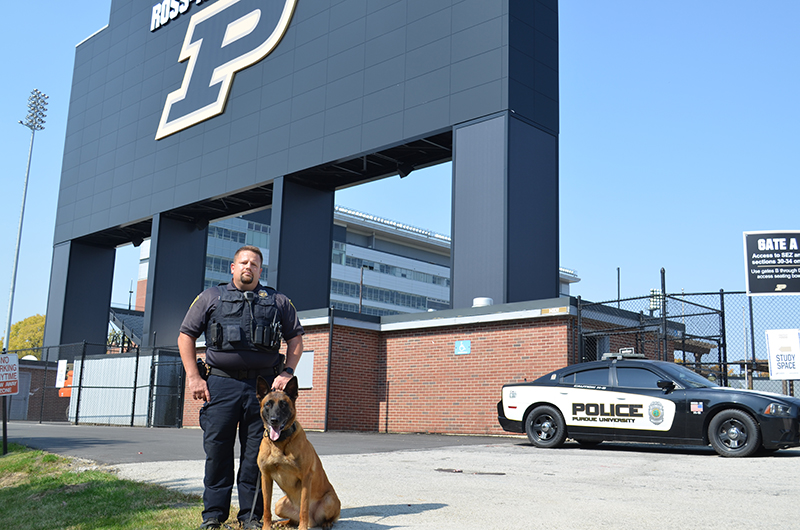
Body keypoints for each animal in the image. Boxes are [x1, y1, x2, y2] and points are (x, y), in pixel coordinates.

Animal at [256, 376, 340, 528]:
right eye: (268, 405)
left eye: (283, 405)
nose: (274, 420)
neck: (279, 443)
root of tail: (313, 522)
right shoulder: (265, 477)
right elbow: (266, 508)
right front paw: (266, 527)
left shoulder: (306, 478)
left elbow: (304, 508)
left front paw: (302, 528)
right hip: (279, 504)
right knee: (292, 518)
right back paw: (283, 522)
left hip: (330, 499)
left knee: (322, 516)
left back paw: (326, 523)